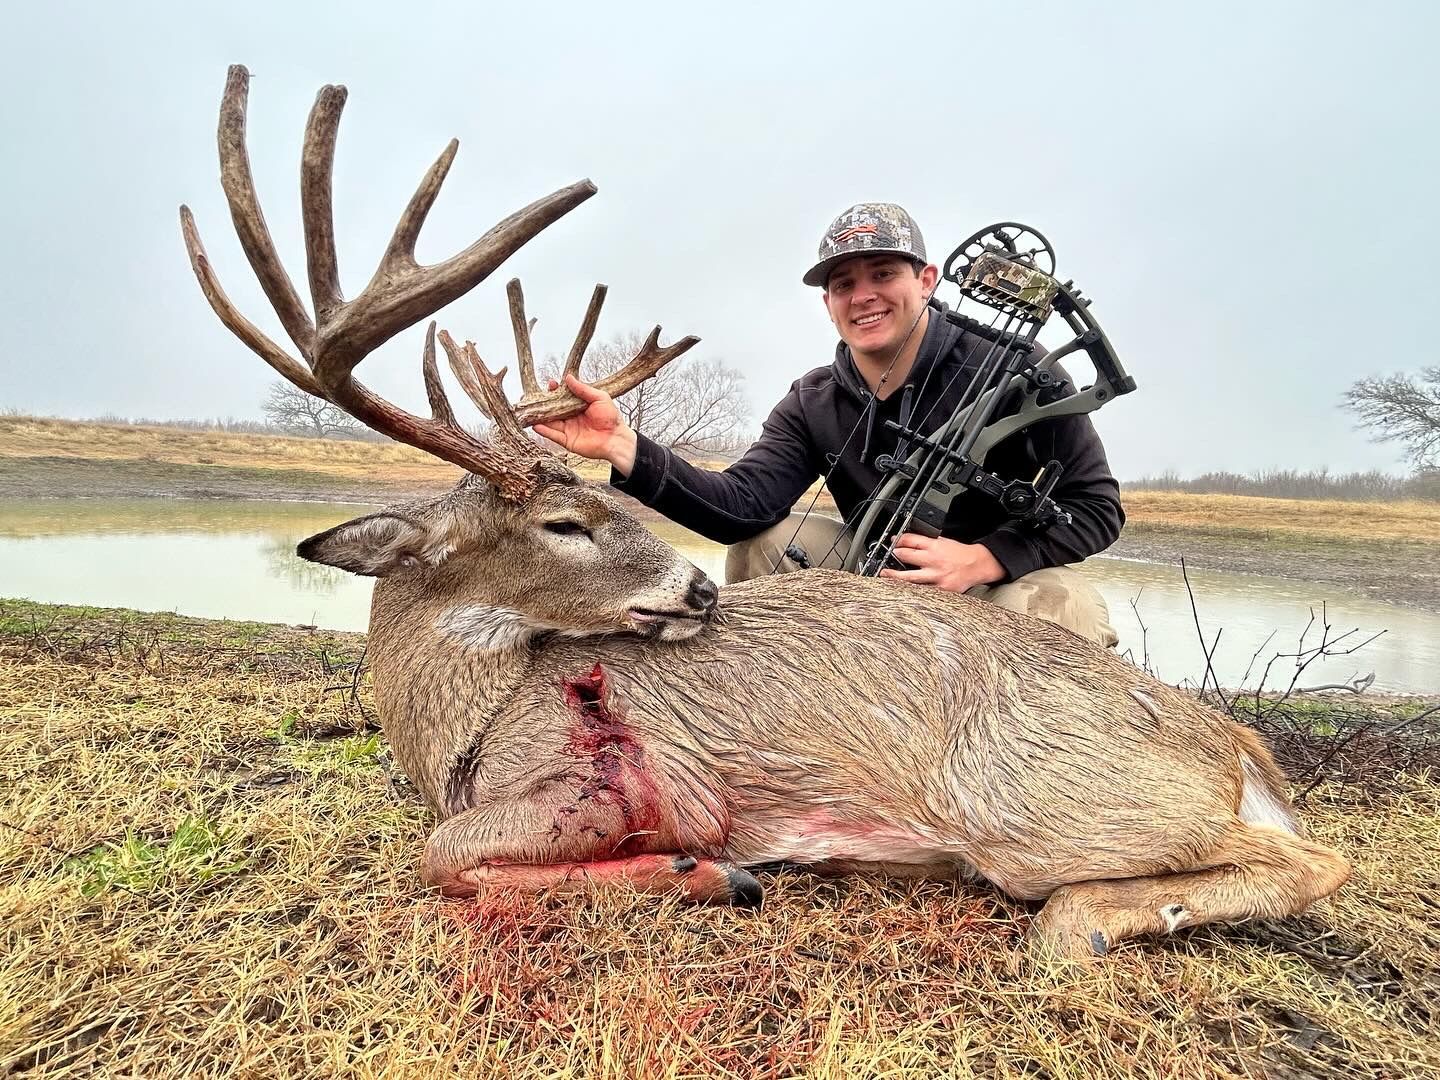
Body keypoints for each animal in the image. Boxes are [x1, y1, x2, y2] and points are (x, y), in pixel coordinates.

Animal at [180, 65, 1349, 960]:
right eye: (565, 523)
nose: (698, 586)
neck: (463, 727)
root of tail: (1237, 746)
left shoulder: (622, 783)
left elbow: (444, 859)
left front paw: (706, 873)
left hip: (1040, 803)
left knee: (1309, 859)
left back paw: (1086, 922)